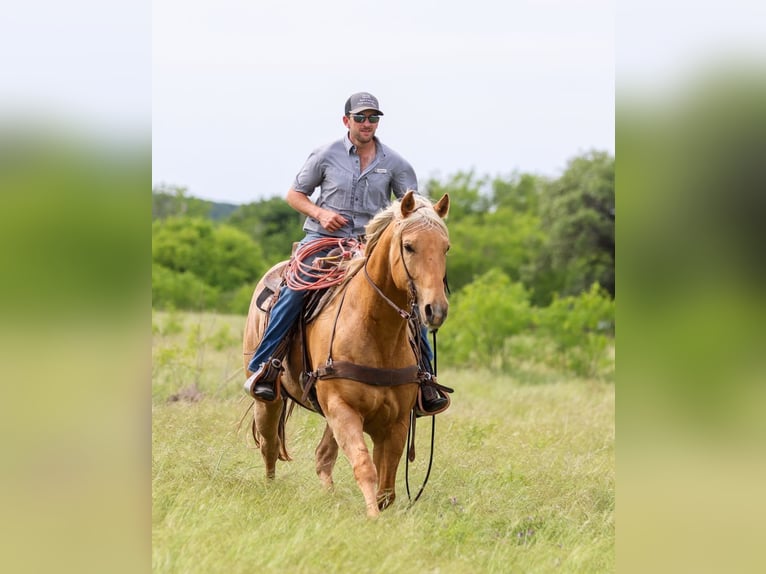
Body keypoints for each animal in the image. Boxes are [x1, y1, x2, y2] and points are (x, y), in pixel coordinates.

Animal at [242, 190, 450, 517]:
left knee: (322, 457)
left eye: (446, 248)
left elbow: (387, 484)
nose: (435, 310)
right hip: (270, 399)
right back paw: (271, 489)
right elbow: (365, 468)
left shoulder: (395, 422)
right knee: (269, 444)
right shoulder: (343, 410)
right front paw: (373, 519)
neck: (374, 330)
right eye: (409, 246)